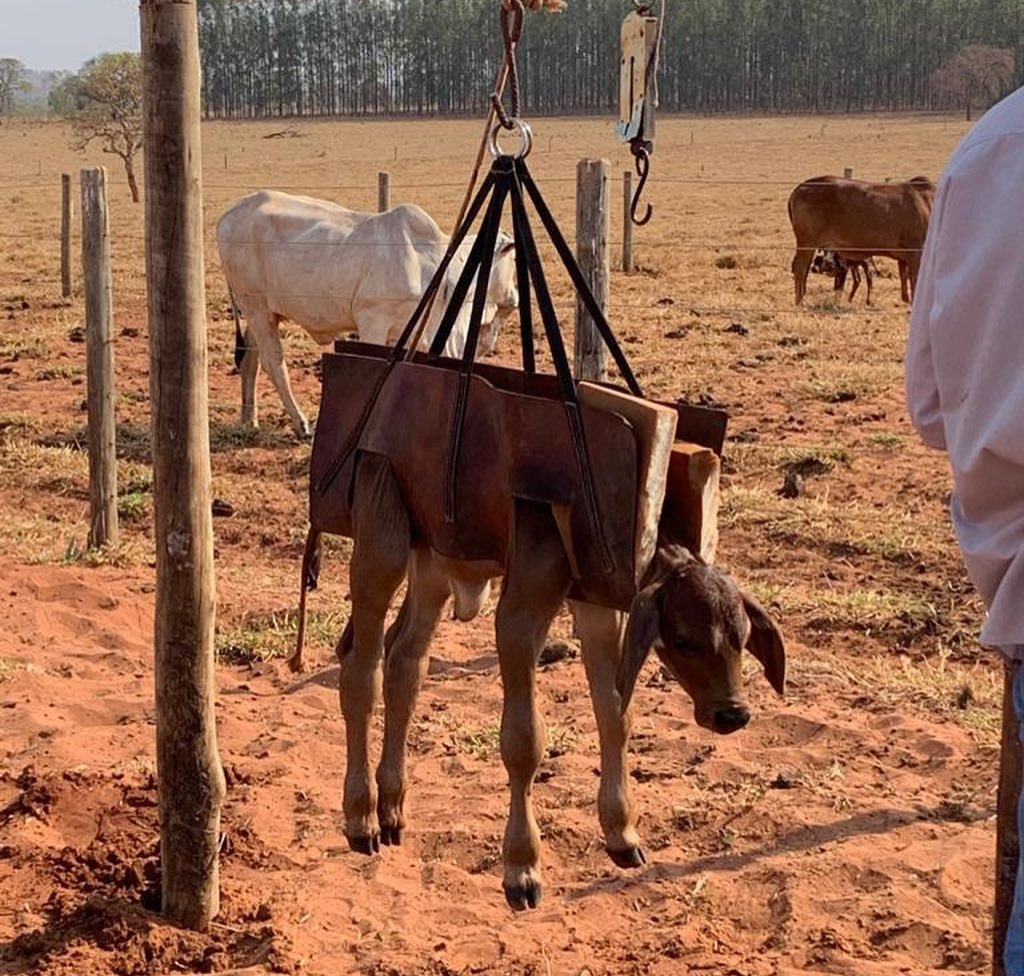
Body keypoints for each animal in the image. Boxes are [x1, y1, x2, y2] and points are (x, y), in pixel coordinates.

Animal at [217, 190, 520, 434]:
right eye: (513, 257)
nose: (515, 299)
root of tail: (230, 214)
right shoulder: (373, 321)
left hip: (262, 312)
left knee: (250, 359)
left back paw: (249, 420)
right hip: (255, 306)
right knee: (274, 363)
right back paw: (301, 424)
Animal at [790, 175, 937, 305]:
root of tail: (800, 187)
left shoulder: (906, 257)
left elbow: (904, 279)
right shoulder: (916, 253)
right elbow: (915, 281)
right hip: (807, 242)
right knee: (800, 268)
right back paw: (800, 301)